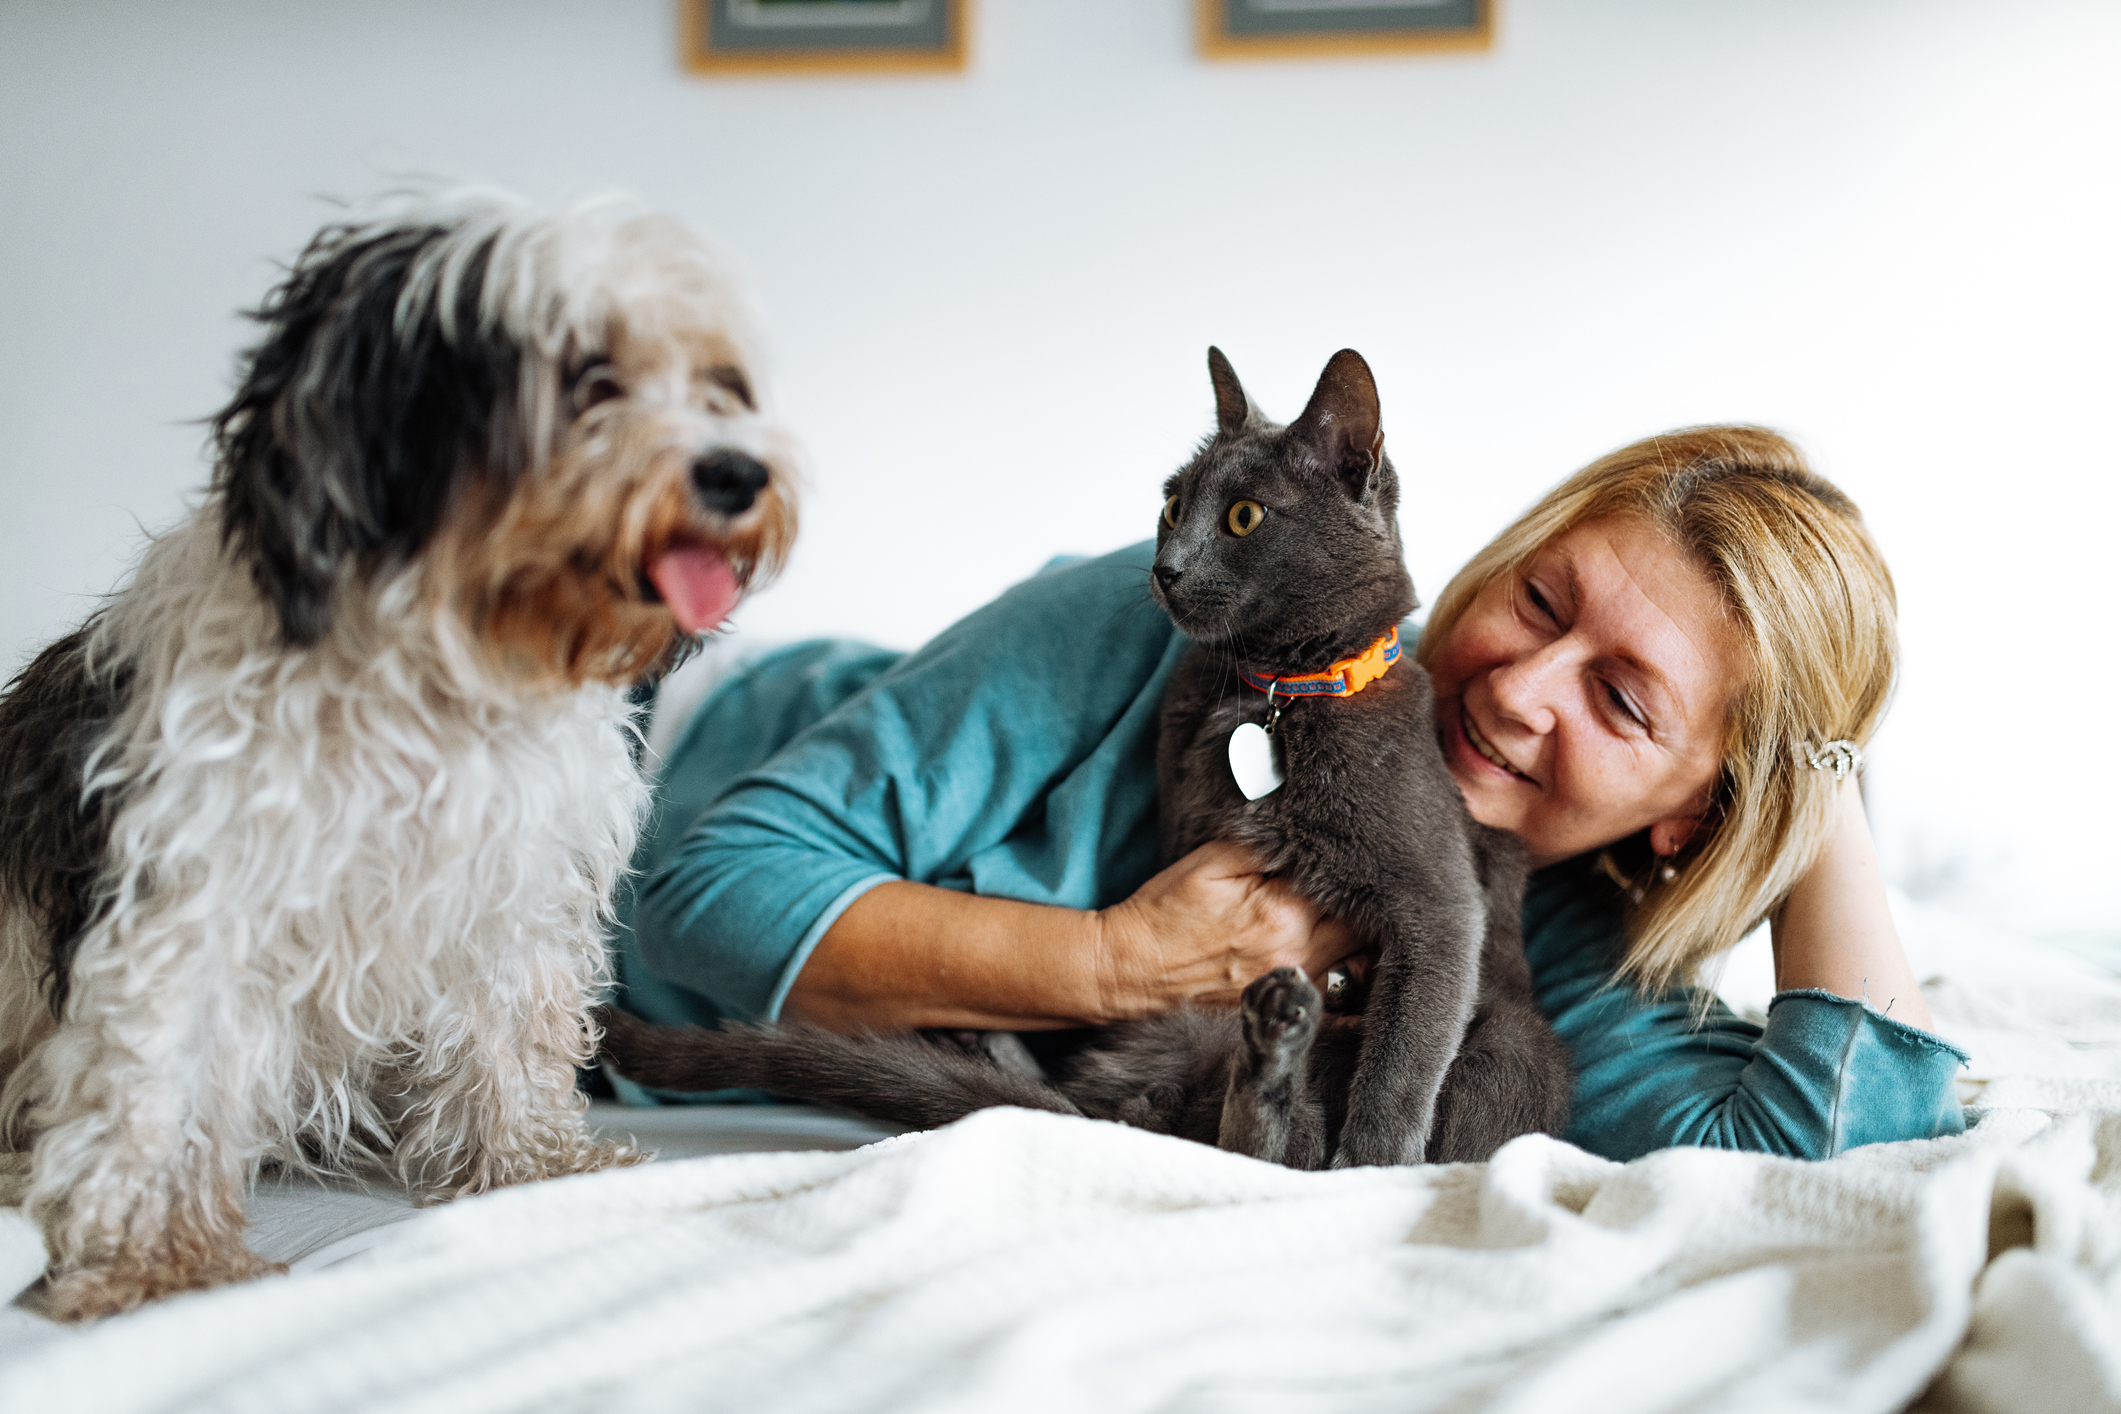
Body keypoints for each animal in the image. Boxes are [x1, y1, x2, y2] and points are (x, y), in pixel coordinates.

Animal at [0, 193, 797, 1322]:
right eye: (586, 375)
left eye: (720, 385)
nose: (739, 472)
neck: (436, 675)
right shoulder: (189, 902)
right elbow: (158, 1075)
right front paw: (155, 1258)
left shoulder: (511, 891)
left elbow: (511, 1034)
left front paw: (531, 1167)